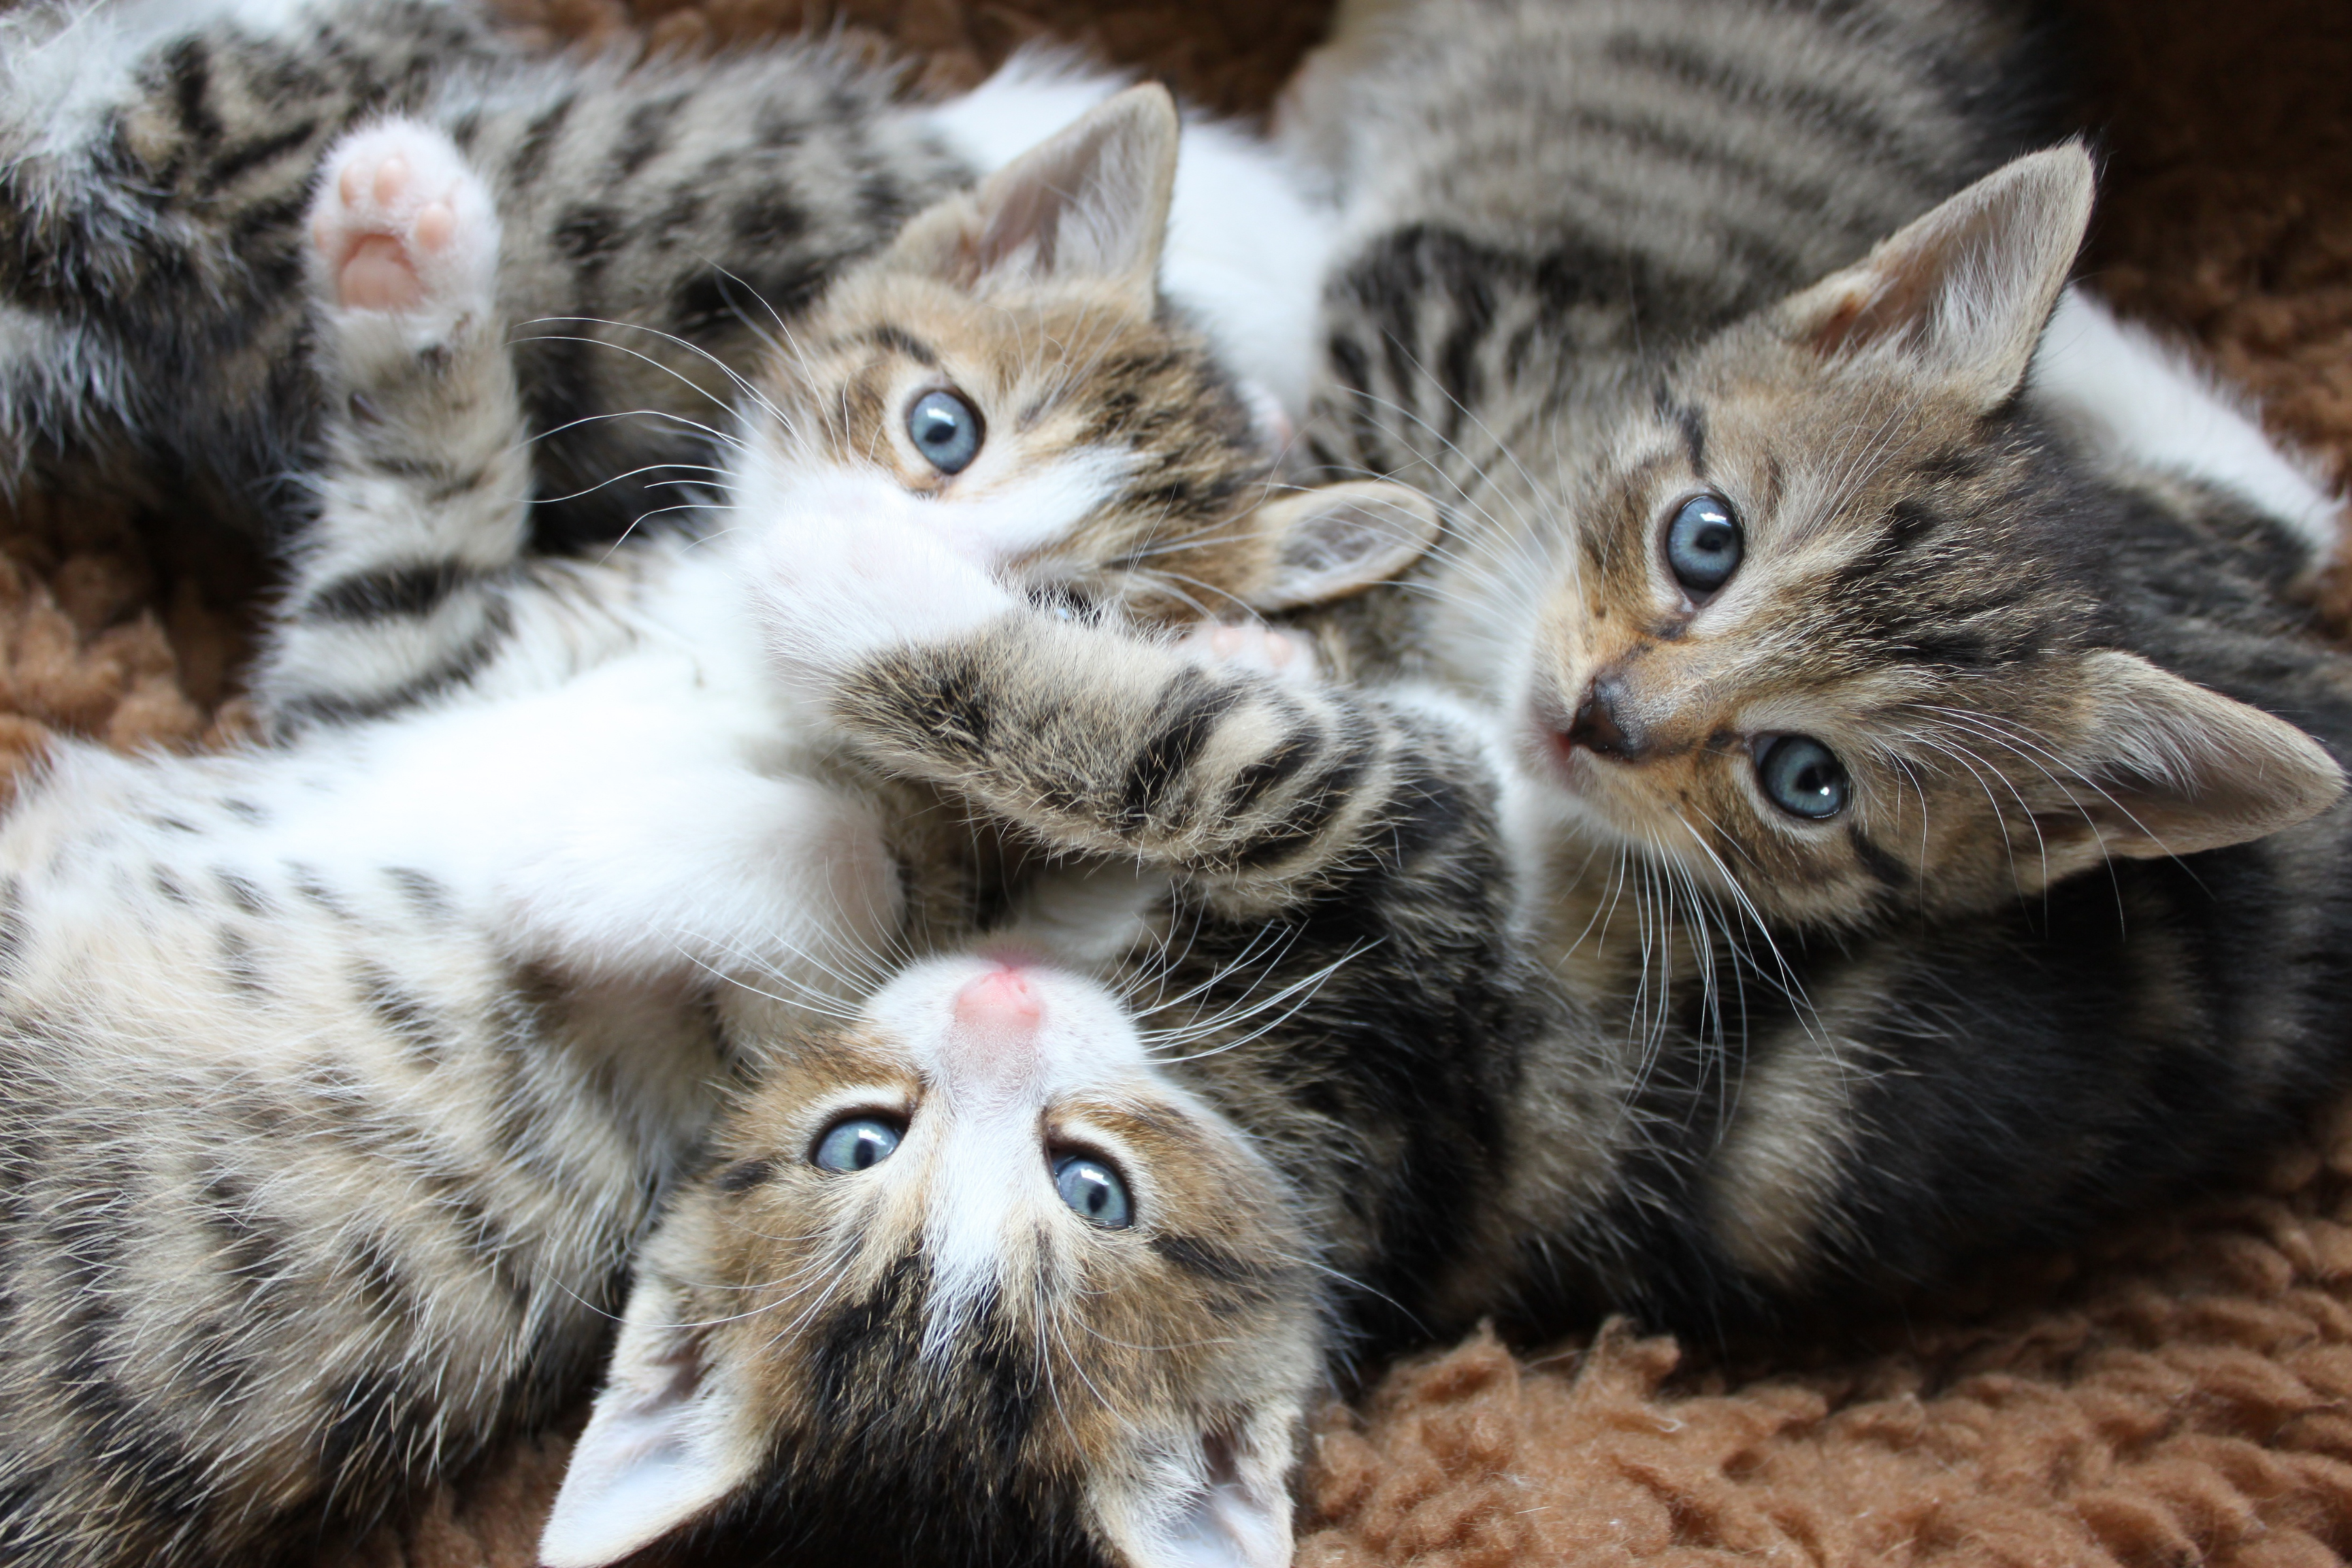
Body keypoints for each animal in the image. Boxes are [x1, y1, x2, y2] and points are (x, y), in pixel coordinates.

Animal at [0, 88, 1430, 1568]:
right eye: (944, 428)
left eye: (1074, 609)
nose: (895, 553)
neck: (733, 653)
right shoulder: (364, 687)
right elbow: (415, 534)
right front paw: (407, 258)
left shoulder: (774, 1046)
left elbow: (860, 872)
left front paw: (583, 863)